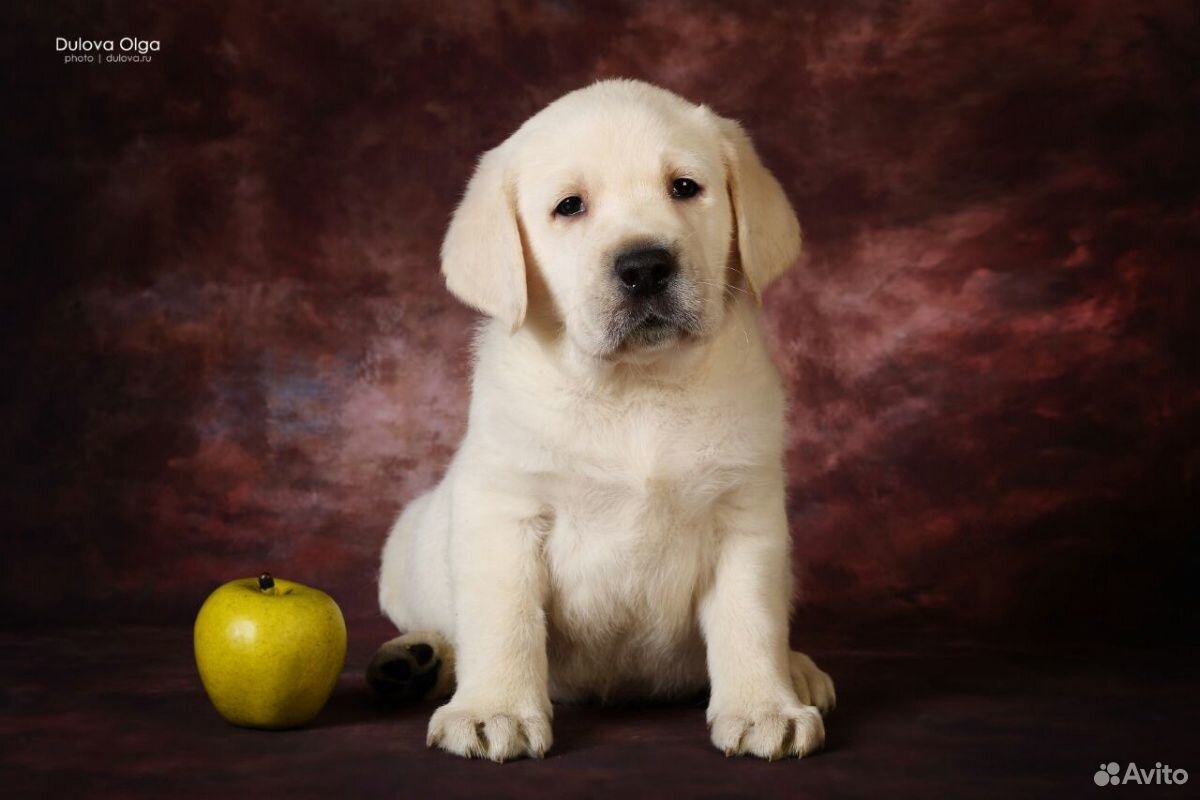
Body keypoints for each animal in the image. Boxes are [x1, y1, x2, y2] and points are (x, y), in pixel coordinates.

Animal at [372, 79, 835, 762]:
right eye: (570, 206)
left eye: (684, 187)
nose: (645, 266)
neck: (634, 388)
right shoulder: (505, 514)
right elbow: (504, 620)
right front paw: (494, 710)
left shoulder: (744, 517)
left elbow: (749, 619)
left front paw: (762, 706)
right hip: (404, 552)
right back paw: (415, 660)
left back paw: (796, 670)